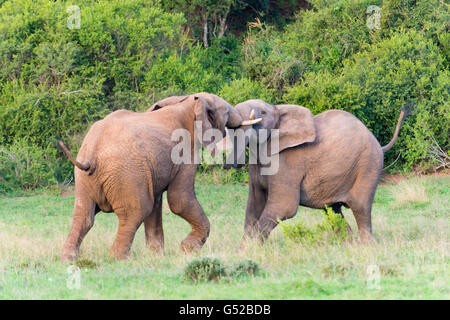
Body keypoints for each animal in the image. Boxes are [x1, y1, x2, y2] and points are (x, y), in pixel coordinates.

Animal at [58, 92, 260, 262]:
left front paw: (157, 256)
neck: (188, 101)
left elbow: (157, 203)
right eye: (227, 111)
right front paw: (186, 250)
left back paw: (68, 259)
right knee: (136, 211)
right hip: (127, 173)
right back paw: (119, 259)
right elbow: (179, 200)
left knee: (84, 215)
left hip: (88, 179)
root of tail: (92, 152)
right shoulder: (185, 151)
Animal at [223, 100, 410, 242]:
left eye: (262, 112)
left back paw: (366, 246)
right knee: (333, 210)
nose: (228, 165)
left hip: (369, 165)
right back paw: (347, 243)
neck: (279, 110)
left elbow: (284, 207)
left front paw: (250, 249)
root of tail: (379, 143)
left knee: (360, 207)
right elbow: (253, 205)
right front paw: (244, 251)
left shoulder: (288, 163)